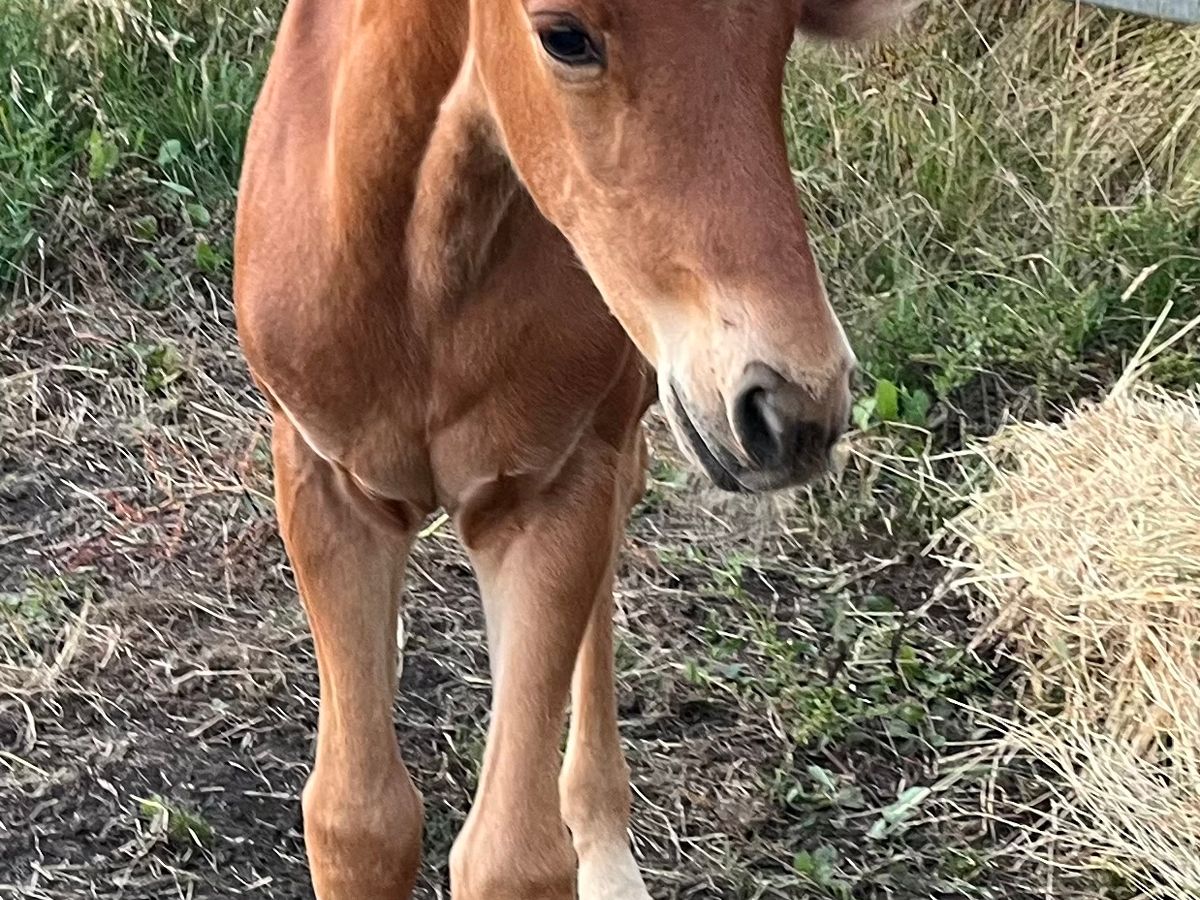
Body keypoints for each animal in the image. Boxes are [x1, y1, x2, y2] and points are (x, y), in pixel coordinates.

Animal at [233, 1, 905, 896]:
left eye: (784, 33)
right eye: (564, 36)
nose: (794, 408)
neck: (424, 268)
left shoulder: (550, 487)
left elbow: (512, 857)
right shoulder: (326, 479)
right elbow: (357, 821)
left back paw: (606, 849)